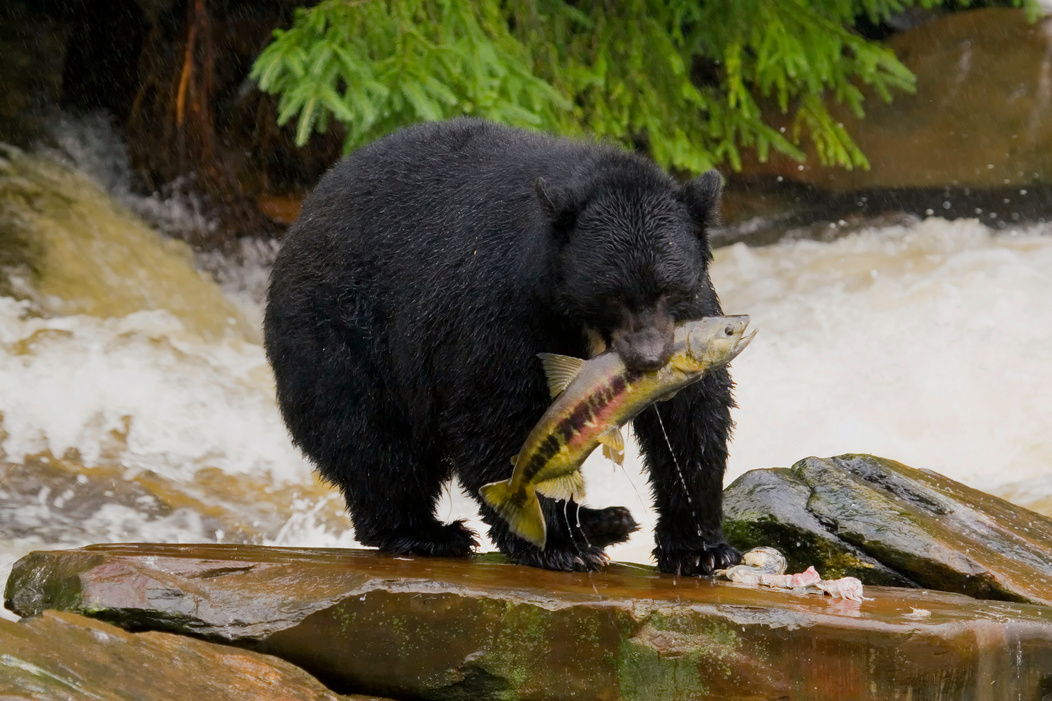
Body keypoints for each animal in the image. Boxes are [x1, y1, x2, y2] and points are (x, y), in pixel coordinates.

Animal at [263, 115, 740, 572]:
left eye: (668, 290)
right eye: (613, 295)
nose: (648, 358)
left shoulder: (692, 314)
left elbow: (692, 415)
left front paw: (699, 548)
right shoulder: (503, 304)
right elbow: (495, 412)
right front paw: (556, 545)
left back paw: (604, 521)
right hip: (343, 335)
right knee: (370, 440)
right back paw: (427, 533)